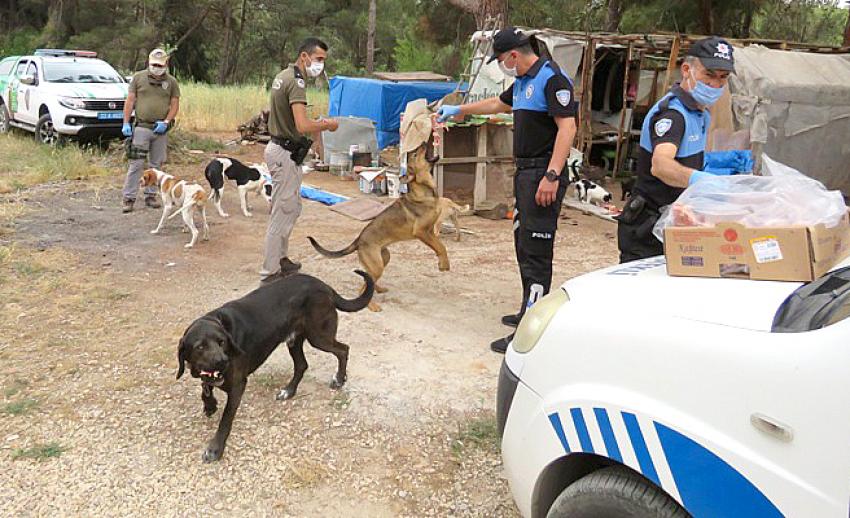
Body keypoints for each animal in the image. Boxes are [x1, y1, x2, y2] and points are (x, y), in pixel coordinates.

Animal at [175, 268, 372, 464]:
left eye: (222, 342)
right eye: (200, 347)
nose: (223, 361)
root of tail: (323, 285)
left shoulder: (238, 385)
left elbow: (225, 419)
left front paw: (215, 449)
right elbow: (205, 388)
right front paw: (210, 404)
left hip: (319, 336)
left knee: (343, 350)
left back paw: (339, 379)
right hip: (295, 341)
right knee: (302, 365)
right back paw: (289, 391)